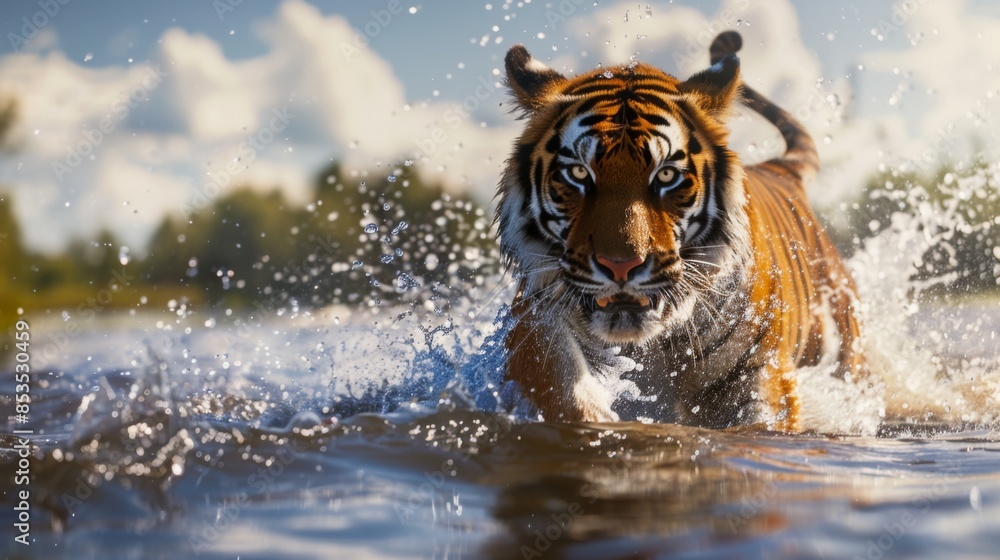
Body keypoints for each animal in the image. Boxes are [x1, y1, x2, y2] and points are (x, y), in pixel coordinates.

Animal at [496, 31, 868, 432]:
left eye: (666, 175)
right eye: (579, 173)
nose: (620, 266)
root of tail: (780, 168)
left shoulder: (759, 368)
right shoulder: (537, 319)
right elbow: (564, 389)